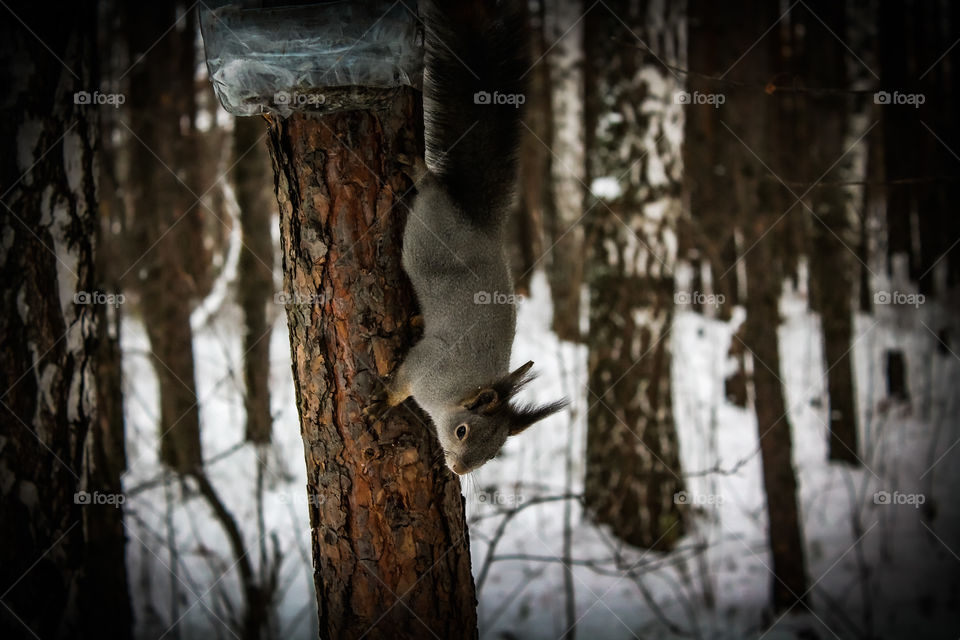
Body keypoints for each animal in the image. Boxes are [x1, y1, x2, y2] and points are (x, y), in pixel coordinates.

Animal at [364, 0, 568, 475]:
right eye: (461, 432)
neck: (459, 392)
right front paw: (386, 400)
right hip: (429, 223)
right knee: (432, 186)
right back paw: (420, 171)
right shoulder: (427, 367)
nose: (458, 471)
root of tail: (476, 221)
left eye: (493, 454)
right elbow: (402, 382)